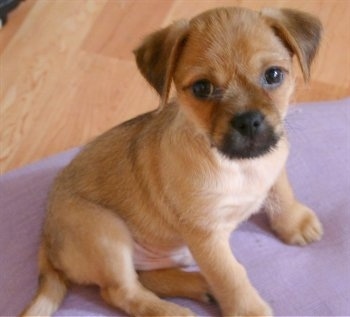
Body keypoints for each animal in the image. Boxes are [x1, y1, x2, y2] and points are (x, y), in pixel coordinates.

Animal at [21, 7, 322, 316]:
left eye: (273, 75)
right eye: (202, 88)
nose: (248, 121)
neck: (239, 166)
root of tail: (46, 237)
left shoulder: (274, 166)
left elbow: (281, 194)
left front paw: (294, 223)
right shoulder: (207, 235)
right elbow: (231, 277)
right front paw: (249, 310)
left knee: (147, 278)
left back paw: (200, 286)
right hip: (105, 233)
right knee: (122, 292)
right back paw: (173, 310)